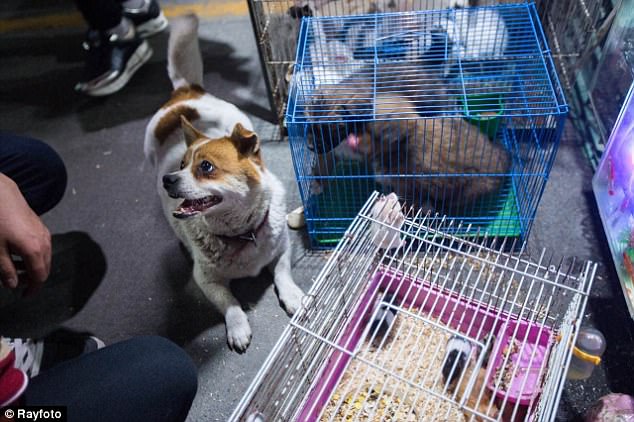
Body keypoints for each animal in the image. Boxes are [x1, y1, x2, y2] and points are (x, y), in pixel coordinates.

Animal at [143, 14, 304, 352]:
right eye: (181, 165)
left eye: (206, 167)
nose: (168, 180)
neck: (242, 234)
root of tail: (185, 93)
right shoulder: (206, 280)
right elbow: (229, 302)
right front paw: (238, 327)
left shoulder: (281, 249)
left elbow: (282, 274)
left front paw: (293, 296)